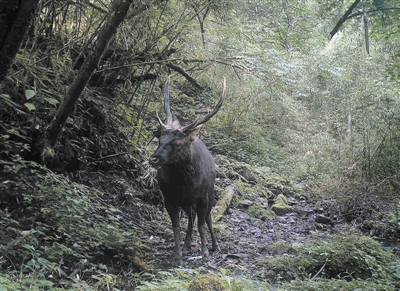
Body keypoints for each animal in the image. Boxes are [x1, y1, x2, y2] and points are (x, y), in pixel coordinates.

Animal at [149, 77, 225, 266]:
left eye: (177, 143)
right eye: (159, 139)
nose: (153, 159)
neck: (183, 184)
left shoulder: (203, 196)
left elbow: (202, 224)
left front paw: (205, 254)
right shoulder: (169, 198)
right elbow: (176, 226)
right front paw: (177, 256)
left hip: (210, 192)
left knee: (207, 218)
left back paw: (215, 246)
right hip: (186, 202)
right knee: (191, 217)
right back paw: (186, 246)